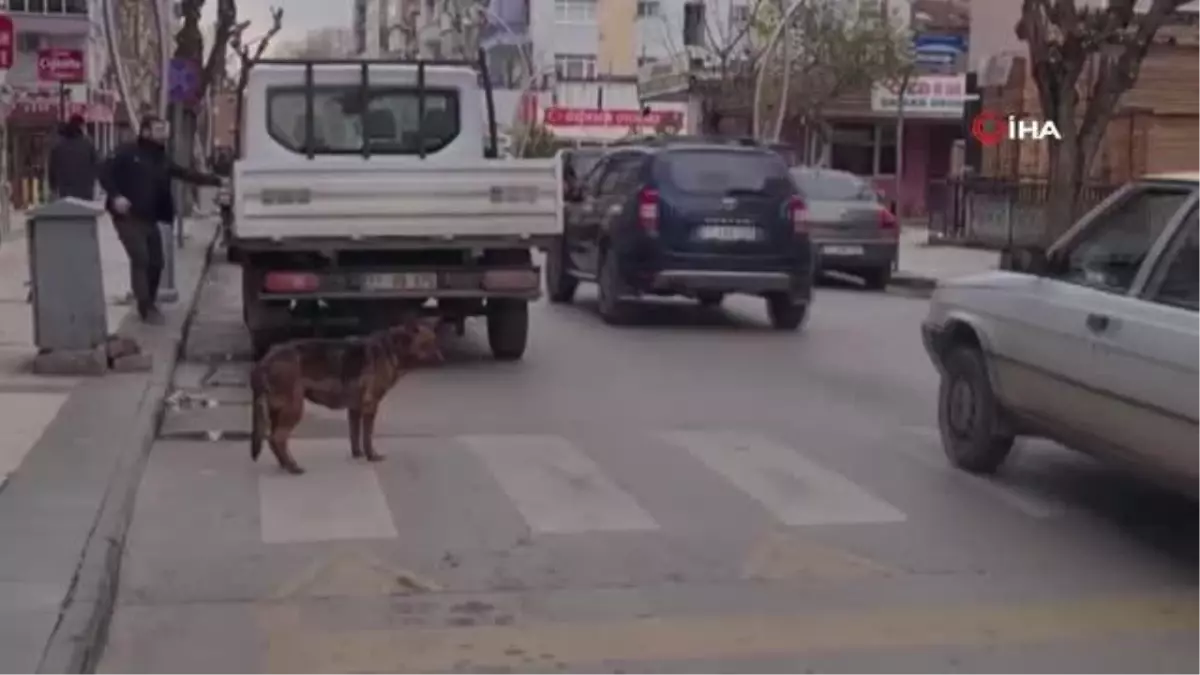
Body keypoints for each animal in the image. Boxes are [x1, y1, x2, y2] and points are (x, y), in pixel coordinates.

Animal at [250, 317, 444, 470]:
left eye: (436, 342)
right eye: (427, 344)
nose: (442, 359)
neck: (392, 348)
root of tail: (265, 359)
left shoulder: (355, 409)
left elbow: (354, 436)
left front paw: (358, 455)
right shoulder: (370, 407)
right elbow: (367, 436)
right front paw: (372, 456)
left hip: (279, 411)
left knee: (273, 439)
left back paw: (284, 464)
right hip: (294, 408)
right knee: (277, 438)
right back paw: (292, 466)